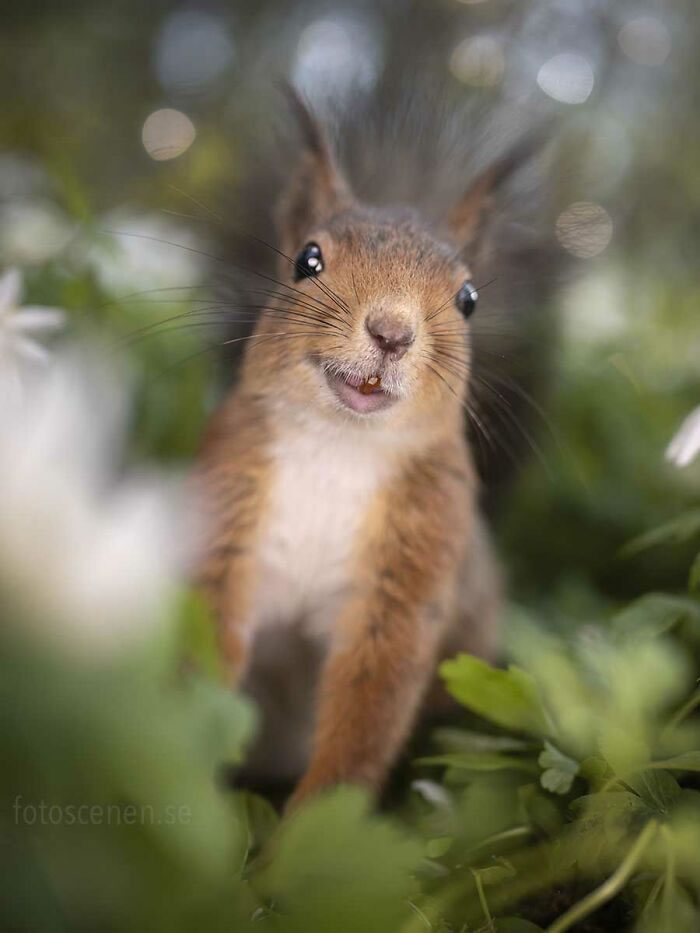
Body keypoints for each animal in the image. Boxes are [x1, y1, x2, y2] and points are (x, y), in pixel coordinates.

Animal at [193, 87, 556, 808]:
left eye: (469, 298)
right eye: (307, 260)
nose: (391, 332)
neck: (339, 446)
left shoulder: (414, 560)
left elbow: (367, 708)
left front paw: (308, 830)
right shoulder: (228, 506)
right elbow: (205, 643)